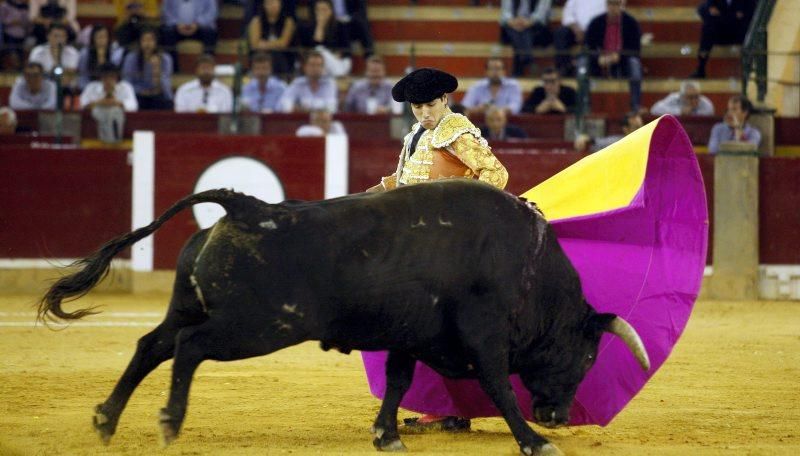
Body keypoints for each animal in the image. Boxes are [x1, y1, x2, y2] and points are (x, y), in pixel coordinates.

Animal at [39, 180, 648, 454]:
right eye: (586, 356)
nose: (557, 416)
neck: (529, 268)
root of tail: (246, 207)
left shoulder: (411, 334)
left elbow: (398, 381)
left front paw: (386, 435)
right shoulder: (482, 334)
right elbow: (499, 386)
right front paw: (534, 441)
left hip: (197, 307)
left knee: (151, 346)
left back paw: (106, 420)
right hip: (259, 328)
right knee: (189, 347)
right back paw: (168, 421)